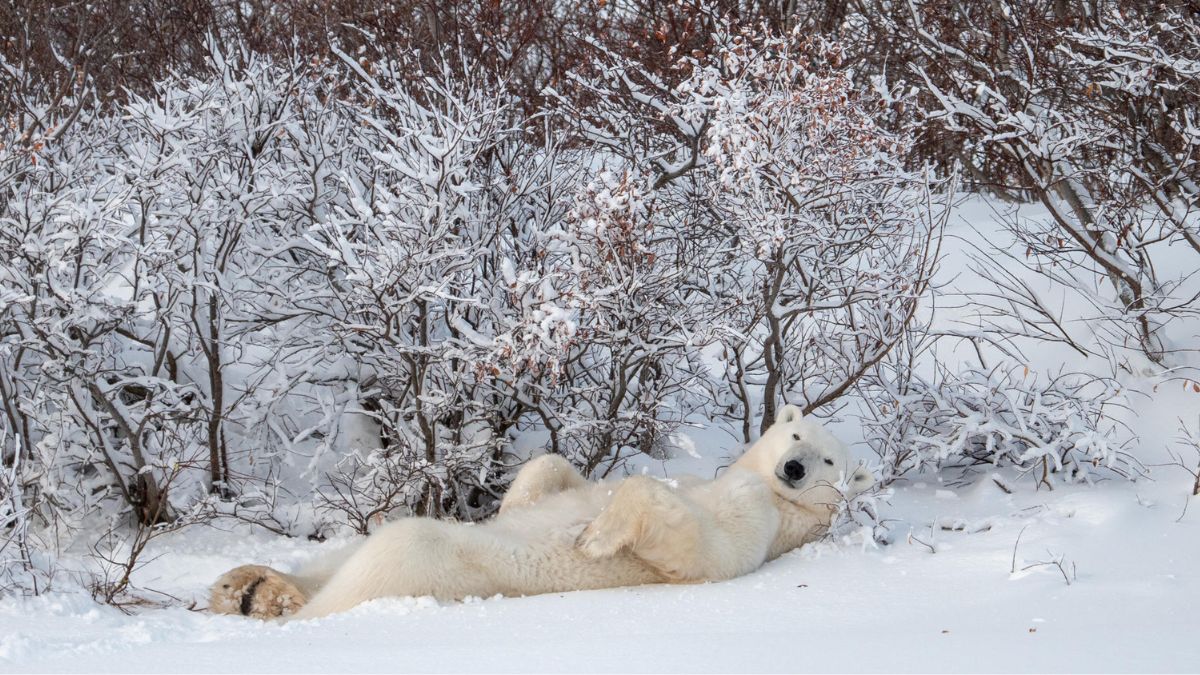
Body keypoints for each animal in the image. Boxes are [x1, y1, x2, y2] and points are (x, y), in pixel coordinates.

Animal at [208, 401, 873, 619]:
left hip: (440, 563)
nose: (794, 469)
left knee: (395, 549)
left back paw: (276, 606)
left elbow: (707, 548)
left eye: (830, 461)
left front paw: (594, 538)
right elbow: (554, 471)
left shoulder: (760, 519)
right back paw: (247, 584)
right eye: (795, 437)